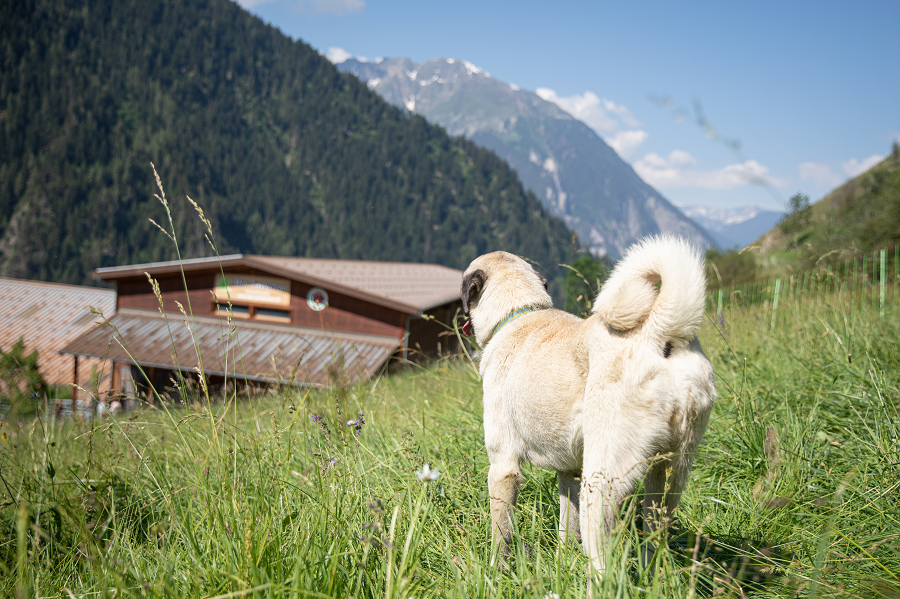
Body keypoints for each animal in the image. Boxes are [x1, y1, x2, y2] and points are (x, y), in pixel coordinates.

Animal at [460, 236, 716, 585]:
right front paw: (563, 562)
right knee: (654, 535)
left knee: (603, 565)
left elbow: (502, 533)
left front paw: (495, 574)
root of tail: (657, 333)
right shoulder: (569, 472)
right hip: (667, 477)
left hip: (601, 484)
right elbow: (567, 528)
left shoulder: (503, 467)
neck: (519, 312)